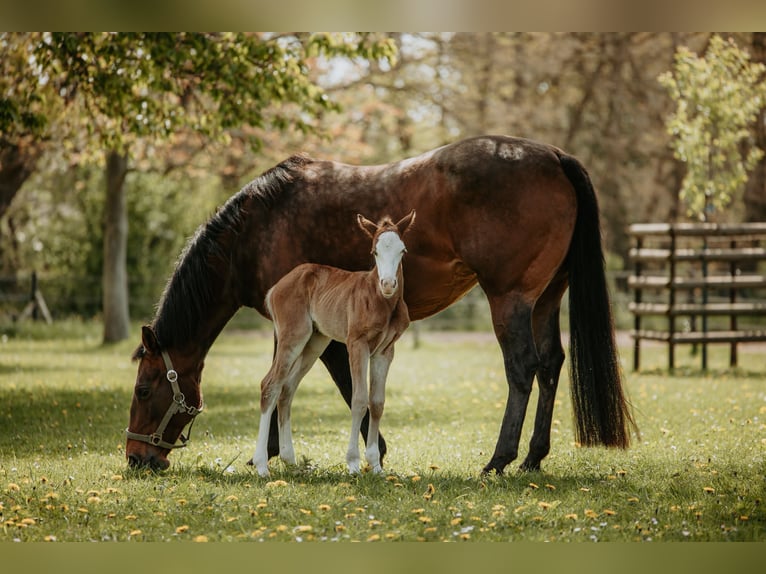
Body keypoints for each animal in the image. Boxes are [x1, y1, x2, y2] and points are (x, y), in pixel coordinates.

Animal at [252, 211, 414, 477]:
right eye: (374, 252)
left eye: (403, 250)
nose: (388, 284)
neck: (380, 301)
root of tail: (276, 287)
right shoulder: (356, 343)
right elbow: (359, 400)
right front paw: (354, 463)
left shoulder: (385, 350)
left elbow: (377, 403)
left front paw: (376, 466)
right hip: (293, 336)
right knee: (270, 384)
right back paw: (262, 465)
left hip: (315, 341)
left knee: (287, 388)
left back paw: (289, 459)